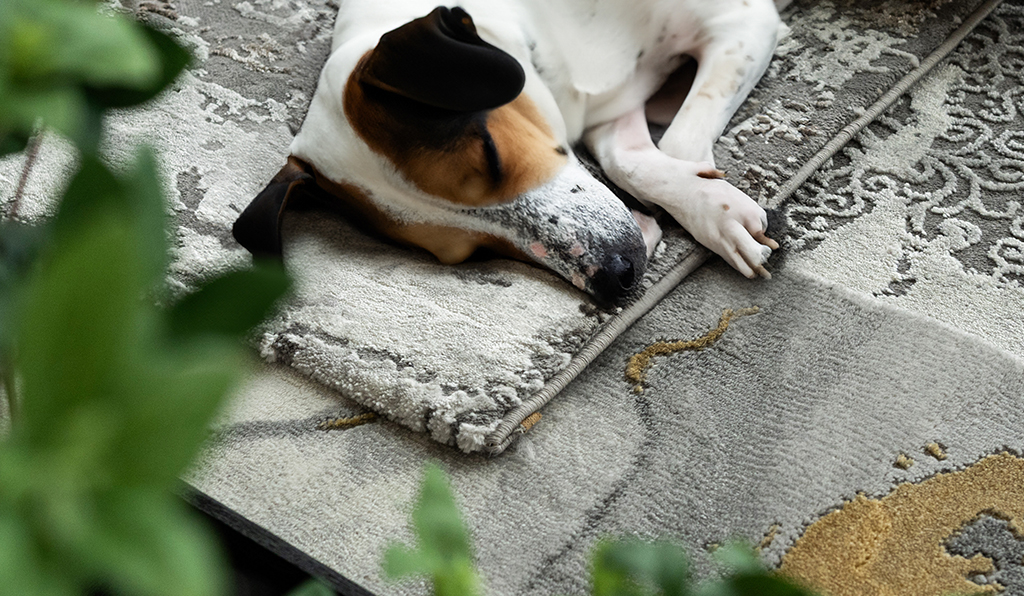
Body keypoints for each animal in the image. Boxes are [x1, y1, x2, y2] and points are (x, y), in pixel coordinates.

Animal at [233, 0, 786, 305]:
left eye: (490, 155)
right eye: (471, 254)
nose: (616, 277)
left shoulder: (742, 21)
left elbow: (679, 142)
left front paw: (717, 211)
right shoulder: (613, 115)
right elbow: (629, 159)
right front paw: (712, 210)